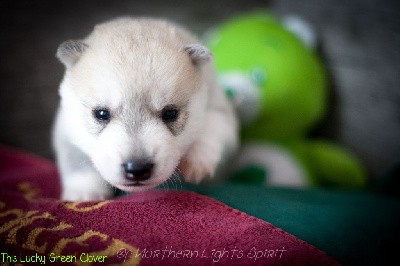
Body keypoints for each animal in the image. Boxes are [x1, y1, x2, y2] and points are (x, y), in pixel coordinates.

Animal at [54, 17, 239, 201]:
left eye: (170, 113)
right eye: (101, 114)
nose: (137, 169)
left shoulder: (218, 106)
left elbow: (213, 125)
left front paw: (197, 162)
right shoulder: (65, 126)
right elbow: (74, 155)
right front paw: (84, 193)